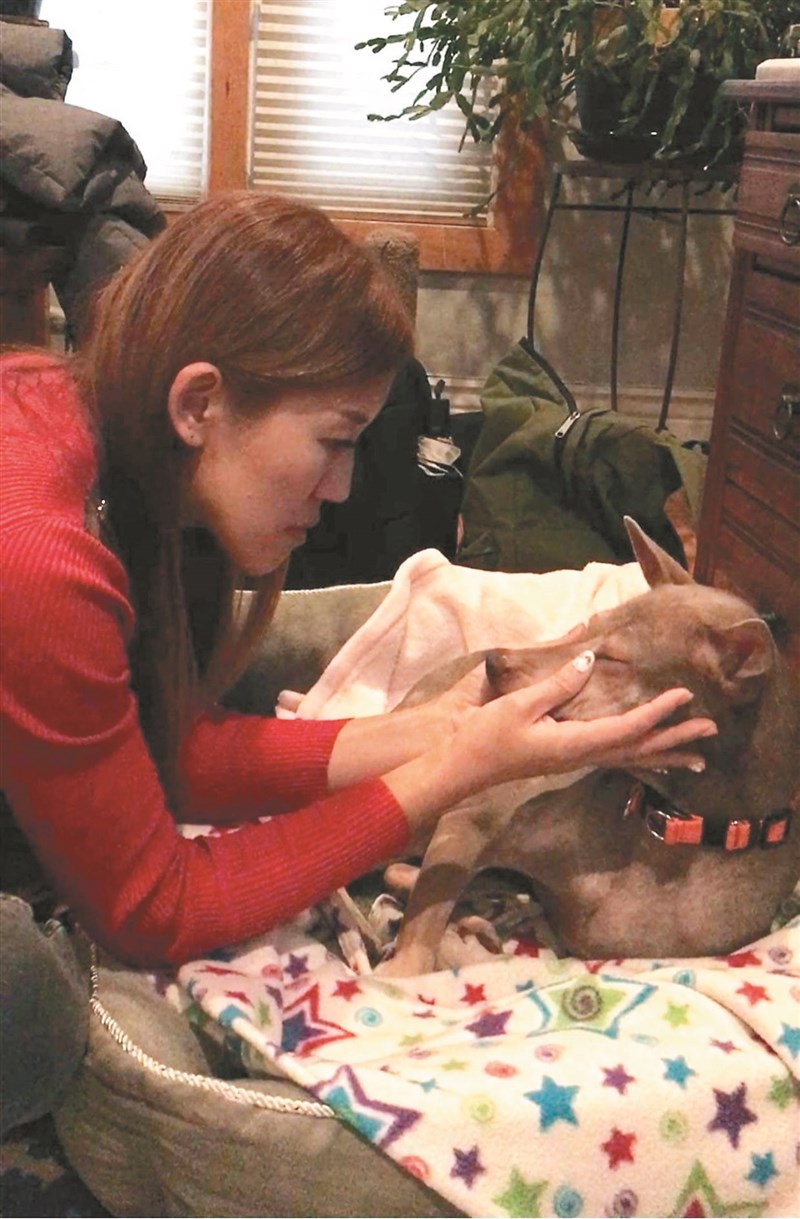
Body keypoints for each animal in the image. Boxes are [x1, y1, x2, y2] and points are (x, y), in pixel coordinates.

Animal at [378, 518, 800, 975]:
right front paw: (403, 972)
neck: (675, 830)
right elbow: (425, 918)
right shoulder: (469, 822)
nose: (494, 662)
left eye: (613, 660)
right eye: (590, 625)